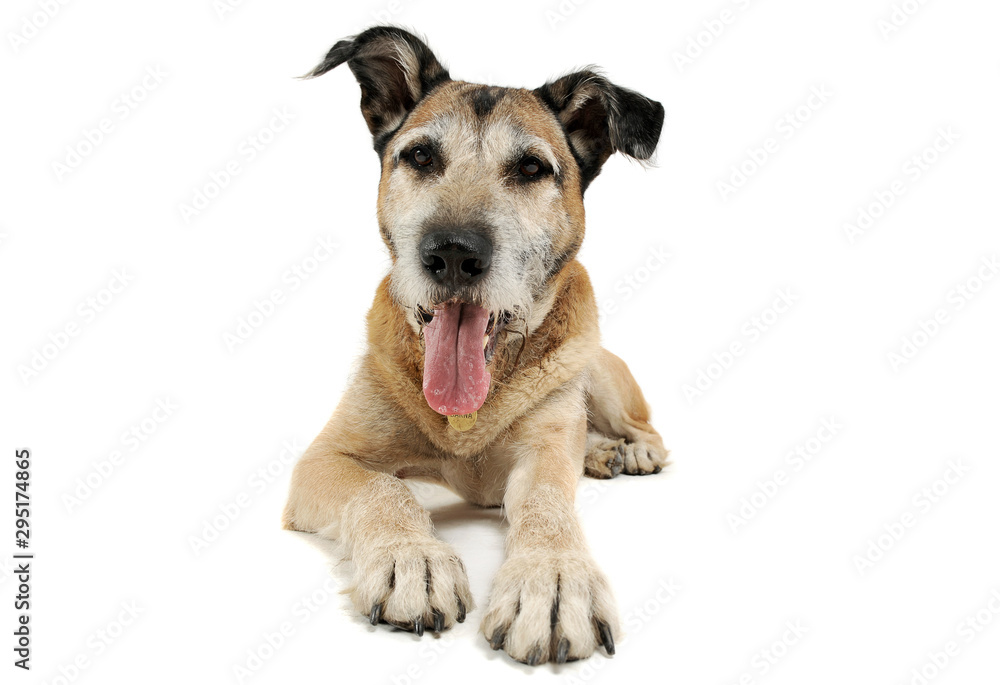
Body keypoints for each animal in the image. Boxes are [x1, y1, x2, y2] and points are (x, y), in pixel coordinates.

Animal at [282, 25, 668, 664]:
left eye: (532, 168)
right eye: (420, 156)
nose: (453, 253)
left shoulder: (545, 451)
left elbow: (547, 501)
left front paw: (553, 578)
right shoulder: (325, 459)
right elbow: (384, 486)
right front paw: (411, 558)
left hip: (600, 374)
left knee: (643, 427)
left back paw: (630, 451)